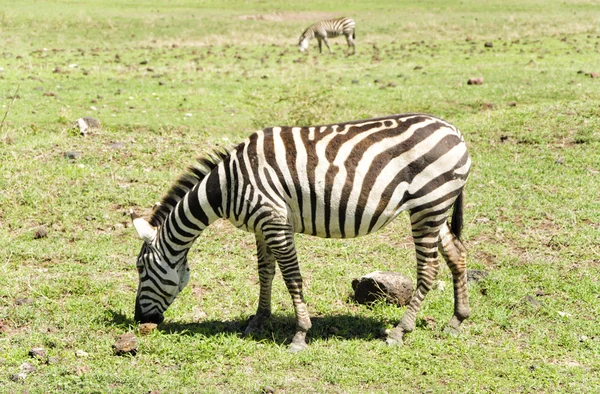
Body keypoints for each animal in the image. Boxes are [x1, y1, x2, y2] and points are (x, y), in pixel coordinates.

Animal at [132, 112, 474, 352]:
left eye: (140, 269)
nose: (139, 320)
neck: (227, 186)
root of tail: (454, 131)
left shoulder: (275, 221)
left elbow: (292, 277)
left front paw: (299, 334)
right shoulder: (261, 226)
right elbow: (265, 273)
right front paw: (258, 321)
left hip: (429, 204)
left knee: (429, 269)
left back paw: (401, 331)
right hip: (435, 206)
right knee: (457, 254)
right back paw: (457, 321)